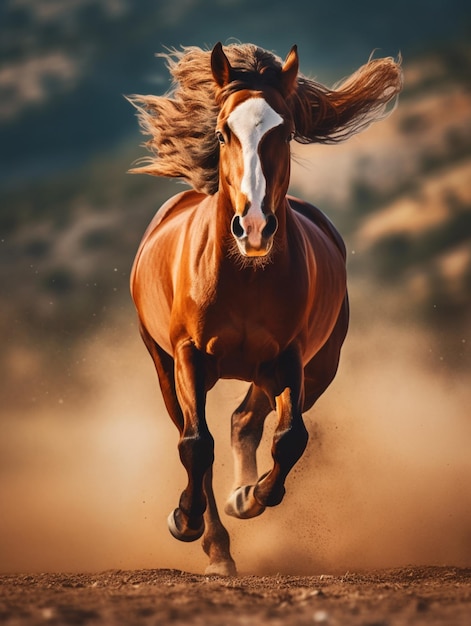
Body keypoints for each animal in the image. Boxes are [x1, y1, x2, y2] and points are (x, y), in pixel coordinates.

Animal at [129, 41, 402, 572]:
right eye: (222, 131)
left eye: (287, 131)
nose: (253, 226)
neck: (244, 275)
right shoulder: (188, 354)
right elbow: (196, 445)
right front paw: (186, 522)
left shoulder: (290, 357)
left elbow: (290, 438)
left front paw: (249, 496)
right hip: (164, 364)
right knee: (196, 435)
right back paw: (216, 546)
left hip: (308, 368)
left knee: (245, 422)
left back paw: (240, 495)